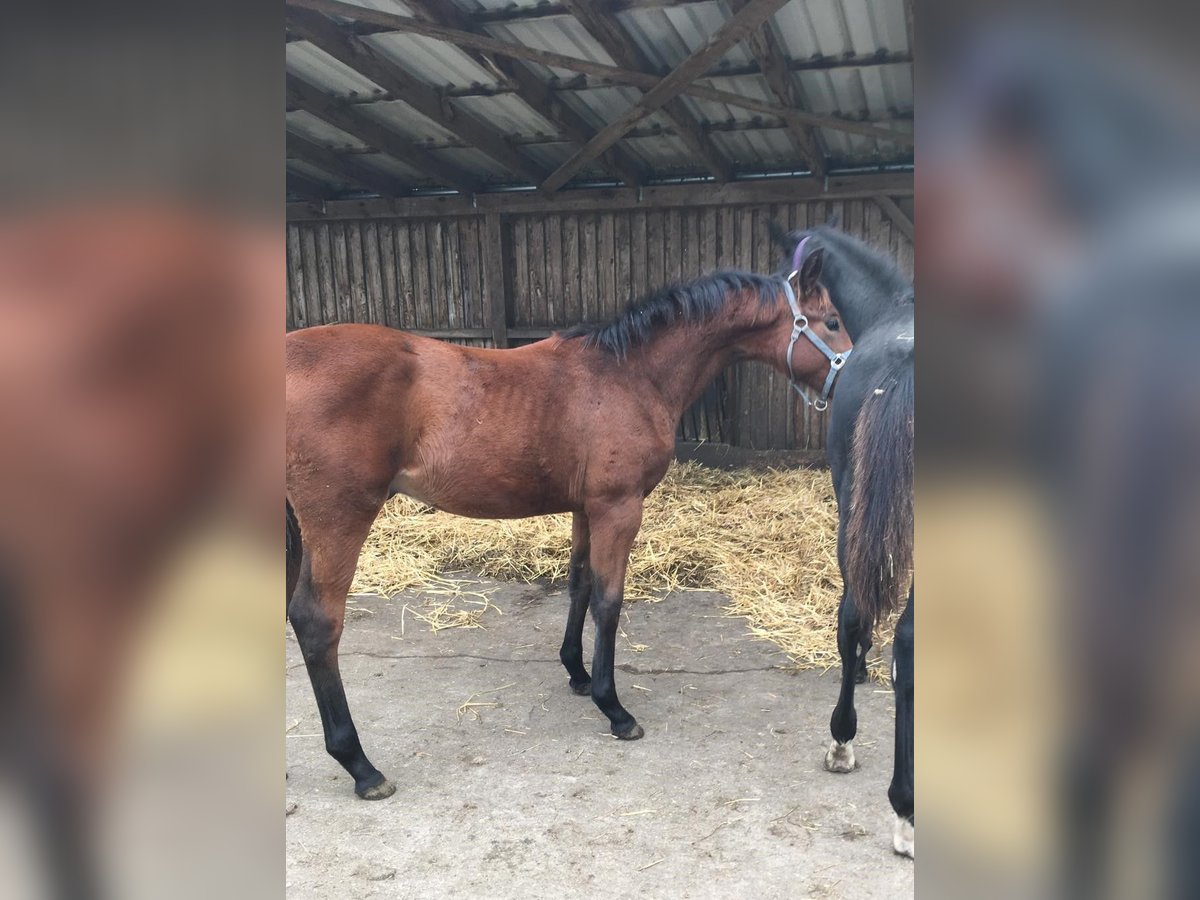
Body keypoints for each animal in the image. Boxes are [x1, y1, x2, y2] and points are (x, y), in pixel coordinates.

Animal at [284, 250, 849, 801]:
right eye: (832, 321)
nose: (850, 381)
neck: (629, 374)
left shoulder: (586, 508)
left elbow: (579, 584)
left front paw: (577, 672)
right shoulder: (619, 509)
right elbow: (609, 601)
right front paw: (613, 707)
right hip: (339, 517)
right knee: (317, 623)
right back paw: (360, 765)